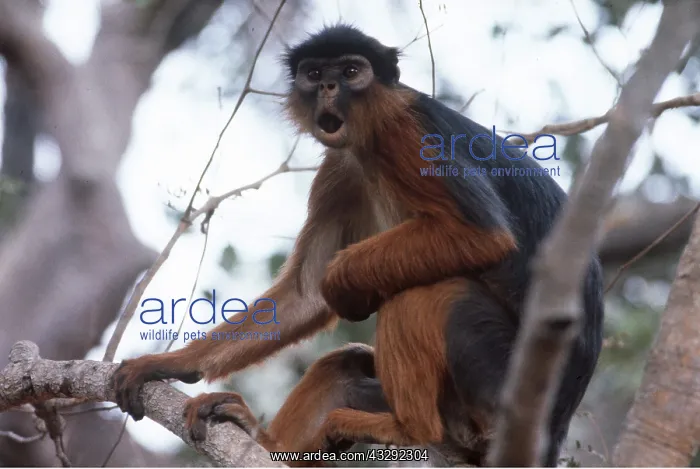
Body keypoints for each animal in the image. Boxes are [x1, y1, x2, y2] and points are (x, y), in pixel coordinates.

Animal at [111, 24, 604, 466]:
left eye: (350, 71)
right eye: (314, 74)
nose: (329, 86)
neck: (371, 135)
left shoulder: (408, 134)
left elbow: (483, 236)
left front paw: (343, 280)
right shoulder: (341, 166)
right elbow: (305, 294)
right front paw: (171, 362)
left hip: (494, 390)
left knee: (427, 292)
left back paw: (411, 430)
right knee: (347, 362)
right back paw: (265, 441)